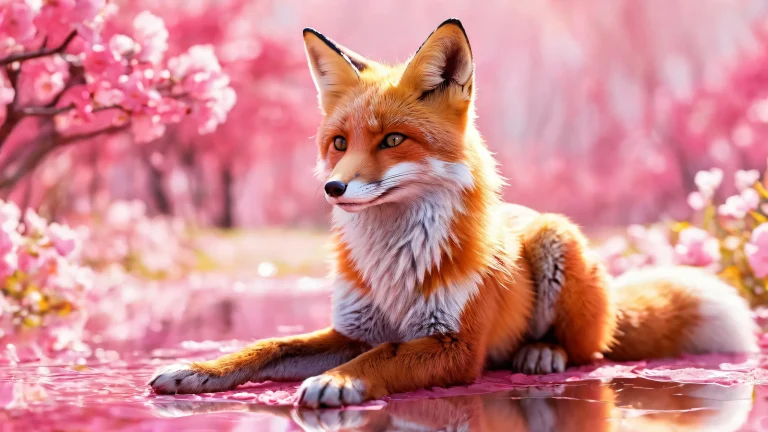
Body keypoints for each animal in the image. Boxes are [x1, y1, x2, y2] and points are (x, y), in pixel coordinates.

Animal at [149, 18, 758, 408]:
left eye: (393, 139)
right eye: (340, 142)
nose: (333, 187)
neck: (391, 266)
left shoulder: (456, 345)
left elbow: (388, 353)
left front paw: (340, 384)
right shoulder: (352, 330)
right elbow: (268, 345)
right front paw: (200, 368)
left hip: (557, 241)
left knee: (590, 349)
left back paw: (542, 353)